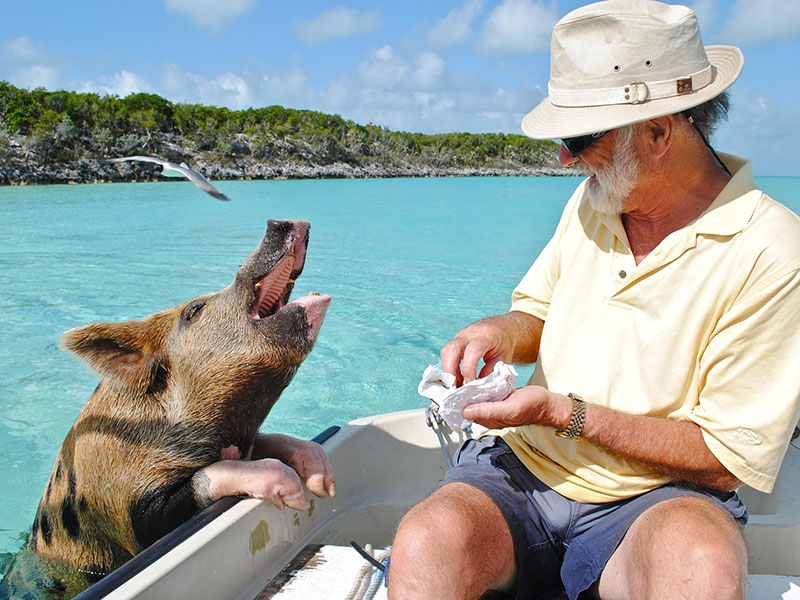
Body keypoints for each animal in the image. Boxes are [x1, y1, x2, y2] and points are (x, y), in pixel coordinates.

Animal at [2, 219, 333, 598]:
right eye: (194, 309)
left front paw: (323, 480)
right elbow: (197, 484)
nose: (279, 222)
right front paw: (295, 492)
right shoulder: (128, 511)